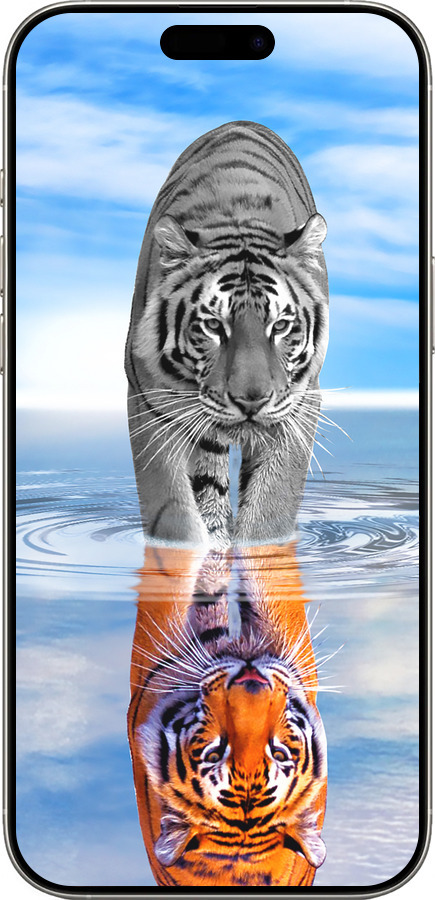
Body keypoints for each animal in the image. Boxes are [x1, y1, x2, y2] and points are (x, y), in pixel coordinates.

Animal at [125, 121, 329, 548]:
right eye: (213, 325)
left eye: (280, 326)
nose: (251, 400)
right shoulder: (149, 401)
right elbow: (173, 512)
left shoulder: (300, 404)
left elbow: (271, 509)